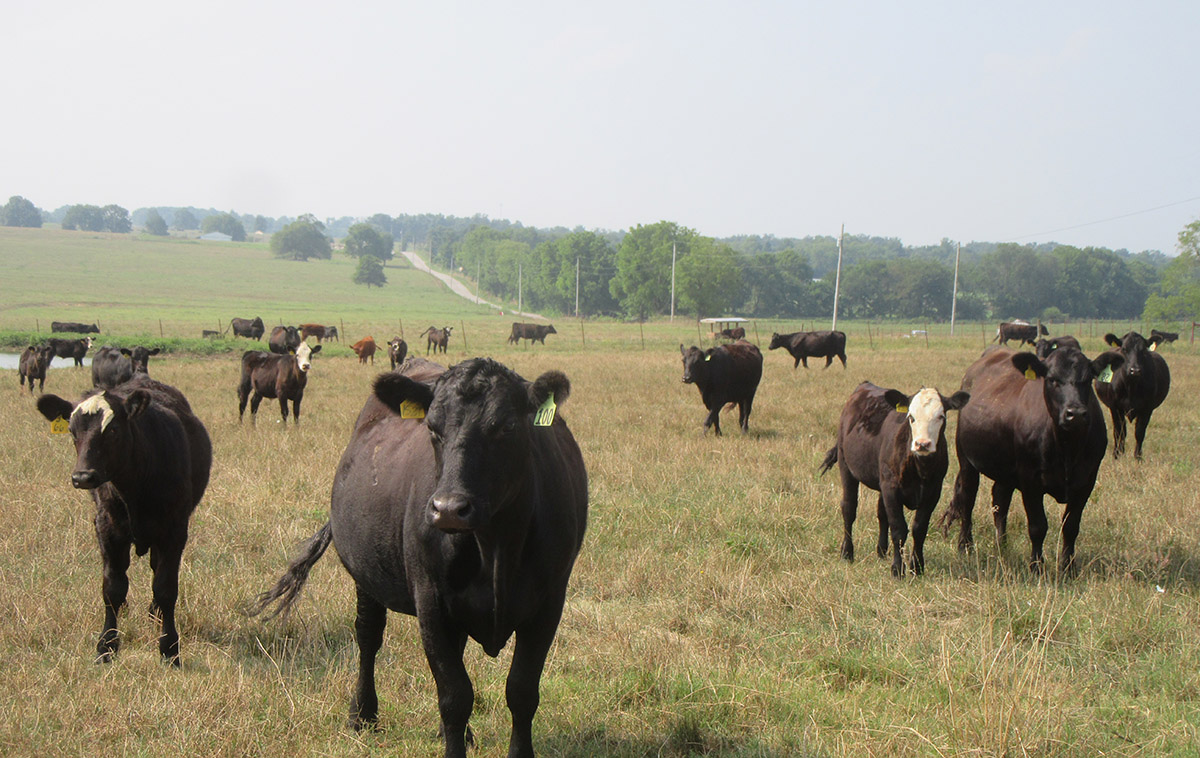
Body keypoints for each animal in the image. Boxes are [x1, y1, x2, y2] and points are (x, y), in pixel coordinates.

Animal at [34, 376, 211, 662]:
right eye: (71, 431)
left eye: (113, 430)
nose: (83, 477)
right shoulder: (107, 528)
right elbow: (113, 587)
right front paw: (106, 645)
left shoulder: (175, 531)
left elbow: (165, 587)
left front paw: (169, 647)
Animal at [250, 357, 588, 758]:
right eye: (431, 427)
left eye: (506, 426)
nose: (449, 509)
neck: (494, 548)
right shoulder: (430, 601)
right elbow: (455, 696)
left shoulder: (549, 603)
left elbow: (521, 691)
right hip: (366, 577)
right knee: (368, 637)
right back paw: (362, 714)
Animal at [820, 381, 969, 578]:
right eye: (911, 417)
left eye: (941, 416)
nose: (922, 444)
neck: (920, 468)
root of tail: (864, 386)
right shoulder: (891, 489)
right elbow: (898, 529)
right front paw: (898, 569)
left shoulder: (933, 492)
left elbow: (919, 529)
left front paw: (917, 567)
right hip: (846, 467)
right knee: (849, 508)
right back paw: (847, 552)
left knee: (881, 513)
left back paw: (882, 551)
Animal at [936, 340, 1123, 570]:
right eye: (1052, 379)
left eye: (1088, 379)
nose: (1076, 414)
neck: (1066, 448)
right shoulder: (1030, 480)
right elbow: (1037, 526)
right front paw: (1036, 566)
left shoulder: (1087, 480)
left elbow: (1071, 527)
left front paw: (1068, 568)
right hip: (966, 460)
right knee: (967, 499)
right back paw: (966, 546)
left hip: (1004, 469)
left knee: (1000, 500)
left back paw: (1002, 544)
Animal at [1099, 328, 1171, 458]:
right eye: (1124, 349)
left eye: (1143, 350)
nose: (1135, 370)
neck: (1131, 387)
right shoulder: (1115, 407)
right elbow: (1119, 431)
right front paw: (1117, 454)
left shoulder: (1147, 408)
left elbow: (1139, 432)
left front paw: (1138, 457)